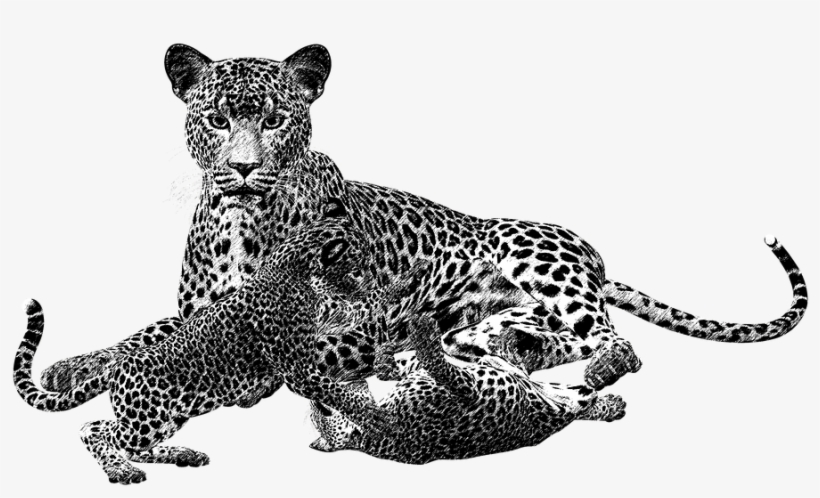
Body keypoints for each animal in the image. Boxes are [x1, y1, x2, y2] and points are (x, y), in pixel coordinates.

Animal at [14, 212, 414, 484]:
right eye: (359, 263)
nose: (374, 274)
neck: (298, 273)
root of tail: (119, 366)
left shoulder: (327, 323)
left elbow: (359, 314)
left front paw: (399, 289)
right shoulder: (299, 368)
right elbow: (336, 391)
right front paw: (380, 418)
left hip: (168, 418)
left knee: (128, 442)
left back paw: (184, 454)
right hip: (145, 418)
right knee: (95, 429)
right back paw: (121, 471)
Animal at [41, 43, 808, 403]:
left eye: (276, 119)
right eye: (218, 120)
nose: (244, 168)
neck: (241, 219)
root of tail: (595, 257)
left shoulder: (332, 318)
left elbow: (208, 341)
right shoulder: (203, 308)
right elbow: (151, 330)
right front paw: (79, 365)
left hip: (535, 258)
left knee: (615, 343)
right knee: (537, 333)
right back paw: (488, 345)